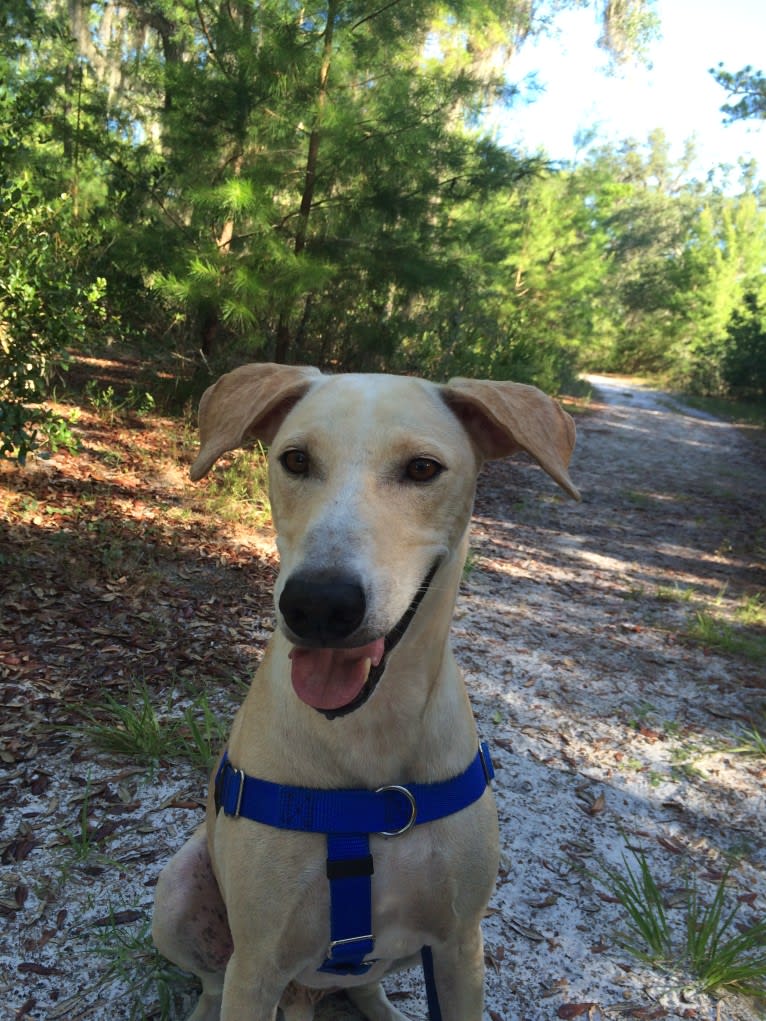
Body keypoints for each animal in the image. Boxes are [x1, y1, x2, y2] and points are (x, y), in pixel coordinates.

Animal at [153, 363, 580, 1016]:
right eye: (295, 459)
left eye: (423, 469)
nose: (318, 604)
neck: (369, 735)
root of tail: (304, 993)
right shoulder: (256, 965)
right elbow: (236, 974)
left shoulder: (461, 947)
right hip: (179, 895)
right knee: (211, 979)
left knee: (363, 983)